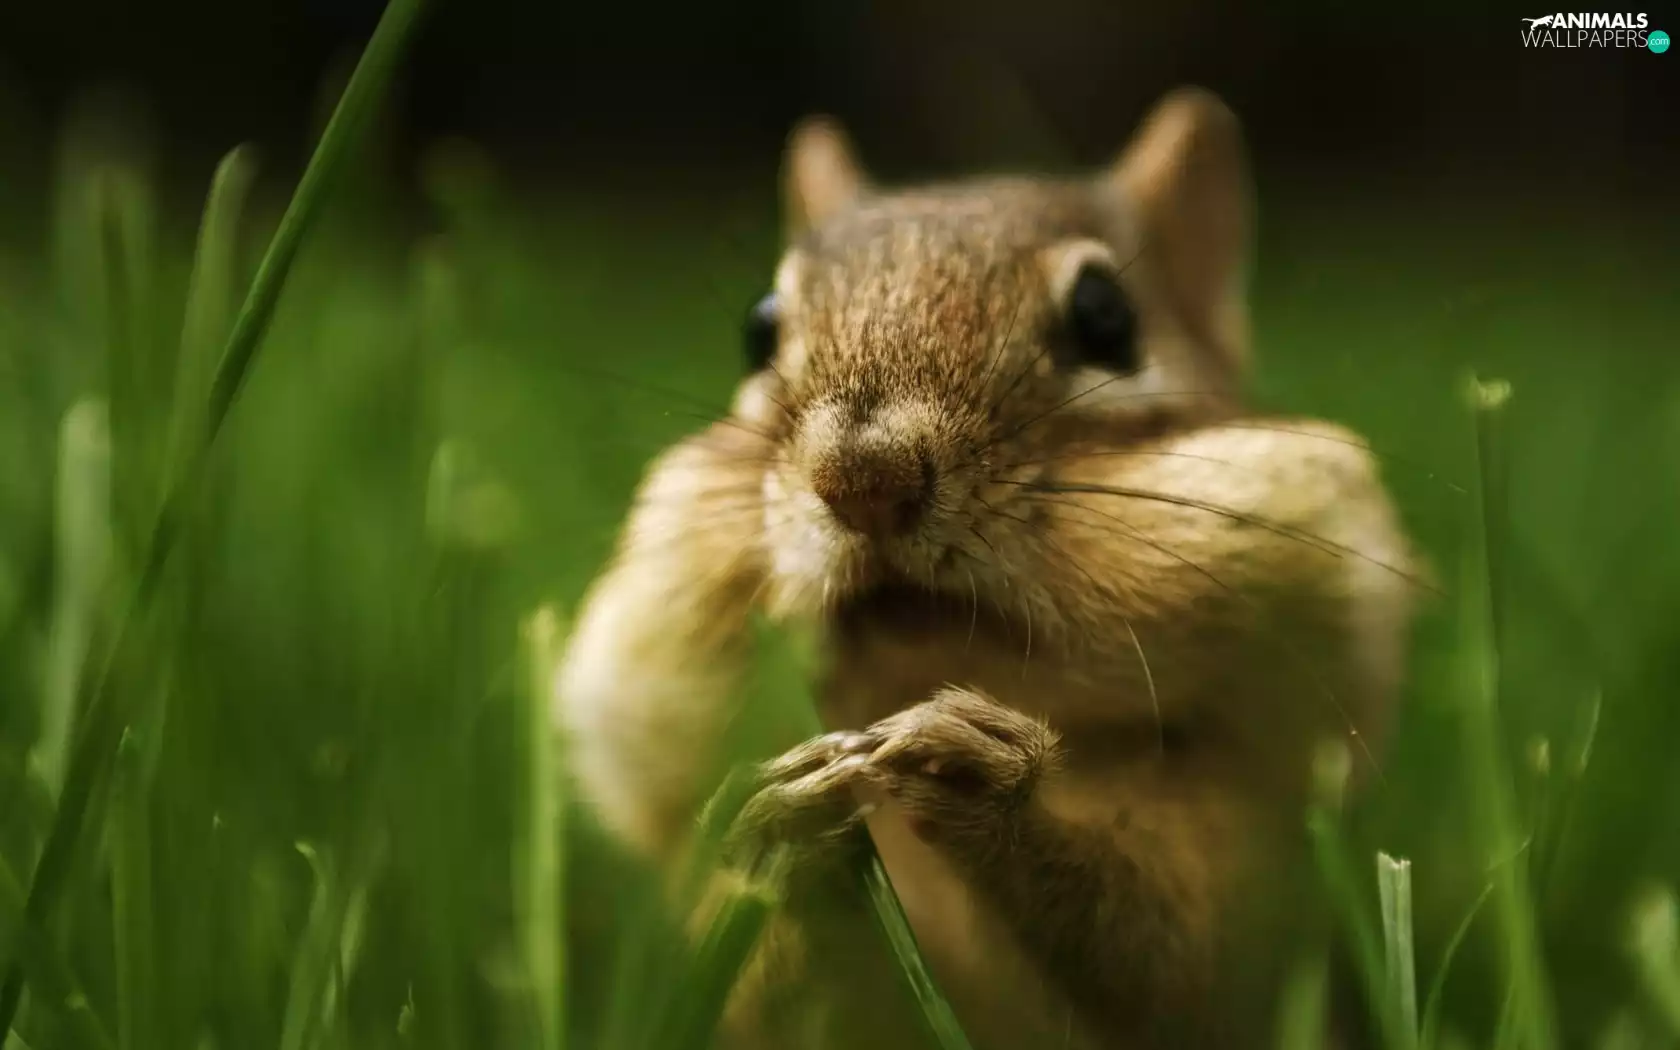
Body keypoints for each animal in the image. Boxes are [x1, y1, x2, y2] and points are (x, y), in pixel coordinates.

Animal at [553, 86, 1421, 1049]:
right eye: (758, 327)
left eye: (1108, 316)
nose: (865, 478)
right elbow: (767, 991)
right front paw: (783, 835)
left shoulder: (1234, 899)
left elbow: (1155, 954)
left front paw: (988, 779)